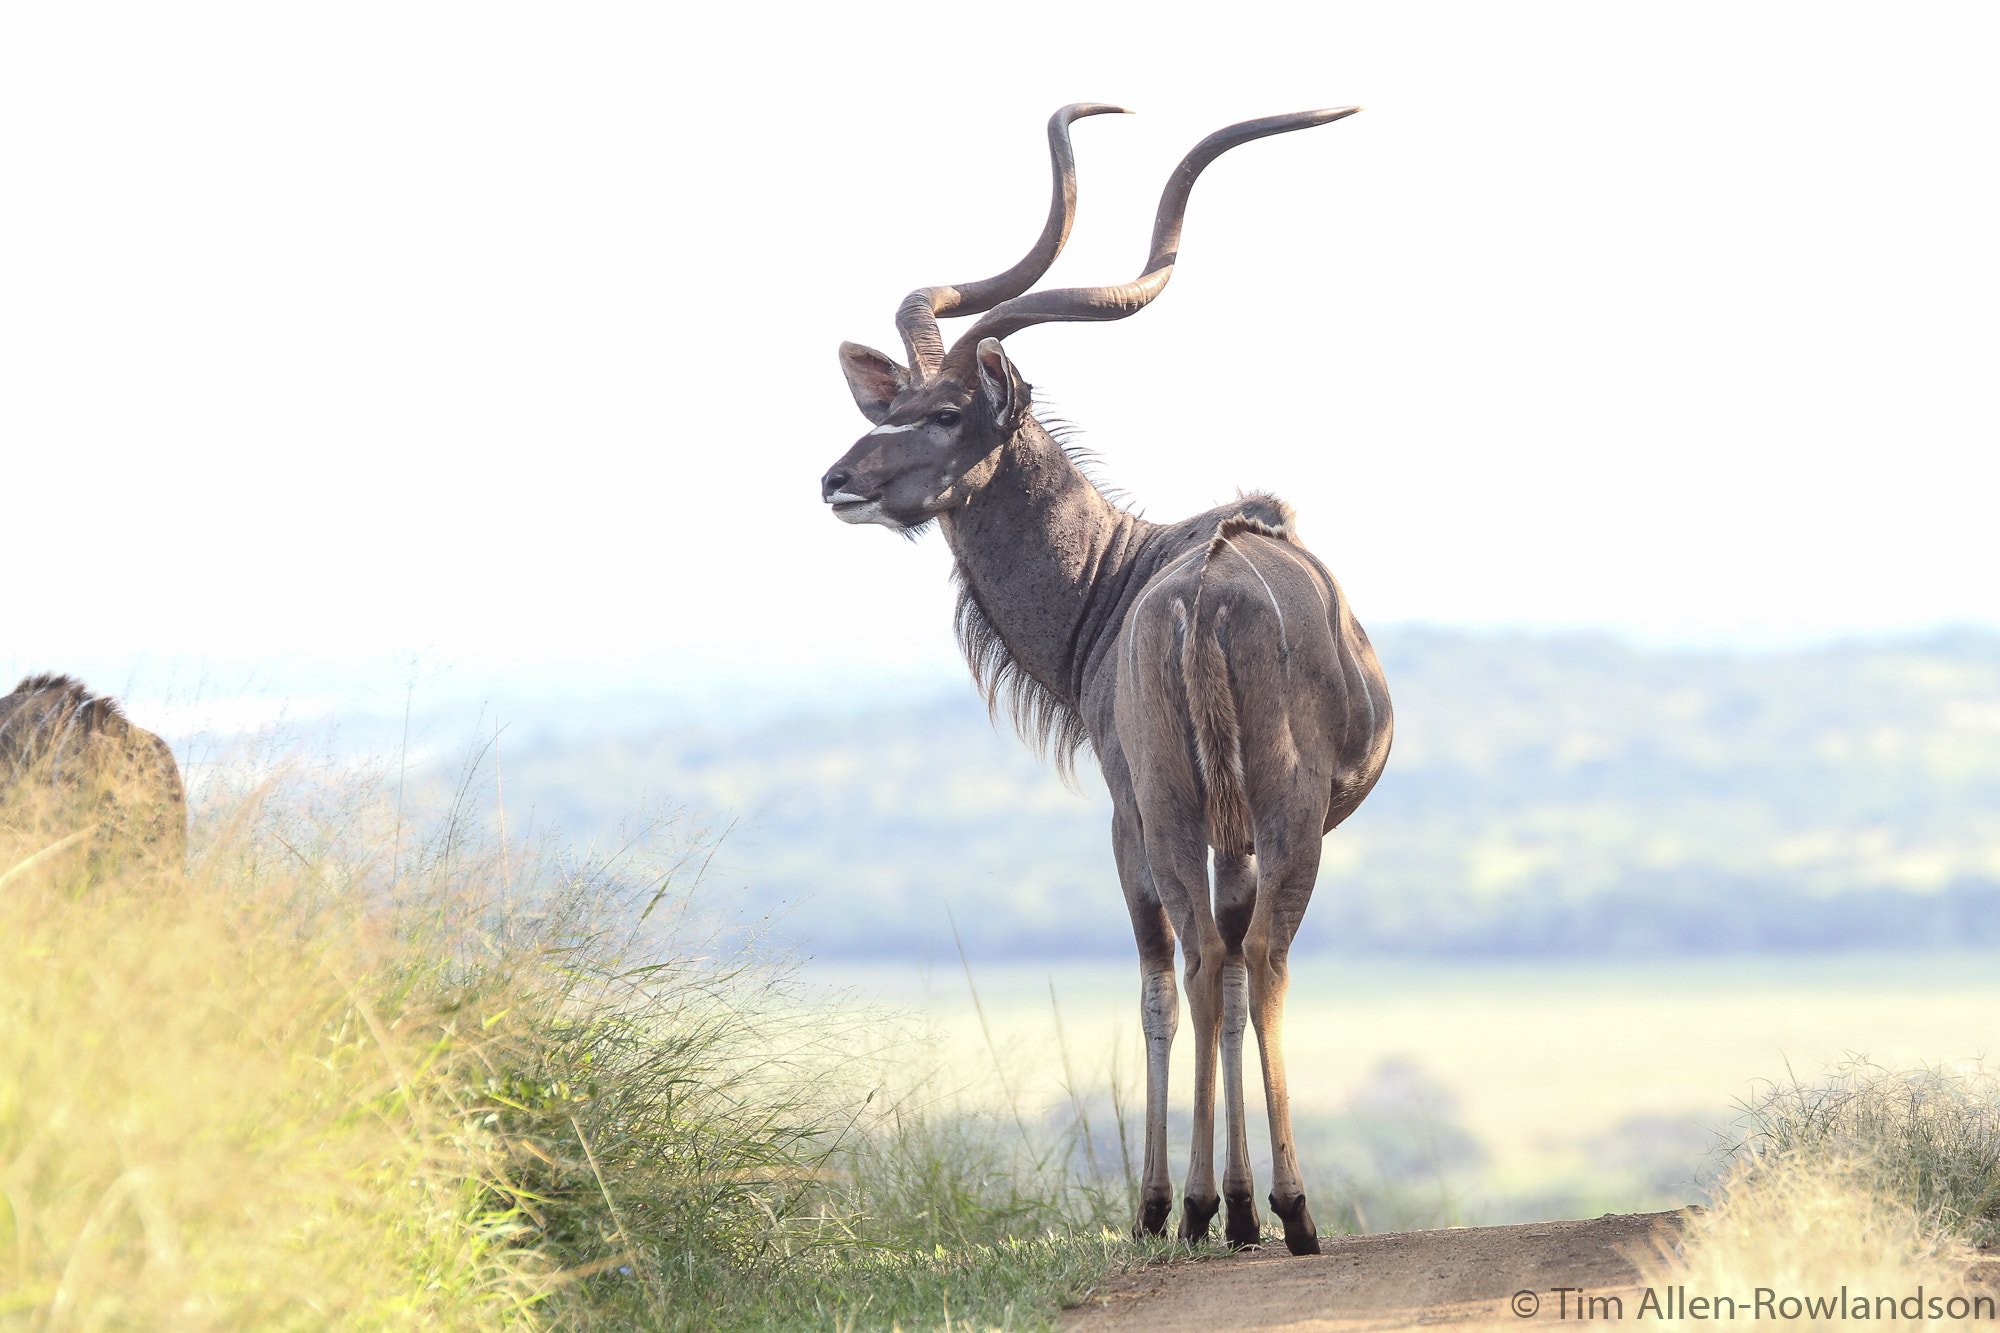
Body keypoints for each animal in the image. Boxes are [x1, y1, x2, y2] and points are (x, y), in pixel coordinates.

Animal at [816, 104, 1392, 1248]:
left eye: (947, 413)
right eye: (896, 403)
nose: (838, 479)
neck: (1121, 576)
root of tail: (1207, 593)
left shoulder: (1132, 812)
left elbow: (1162, 979)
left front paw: (1177, 1201)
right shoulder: (1200, 823)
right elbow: (1206, 971)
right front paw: (1215, 1206)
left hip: (1203, 811)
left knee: (1217, 959)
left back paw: (1229, 1203)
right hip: (1243, 813)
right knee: (1240, 956)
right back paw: (1252, 1206)